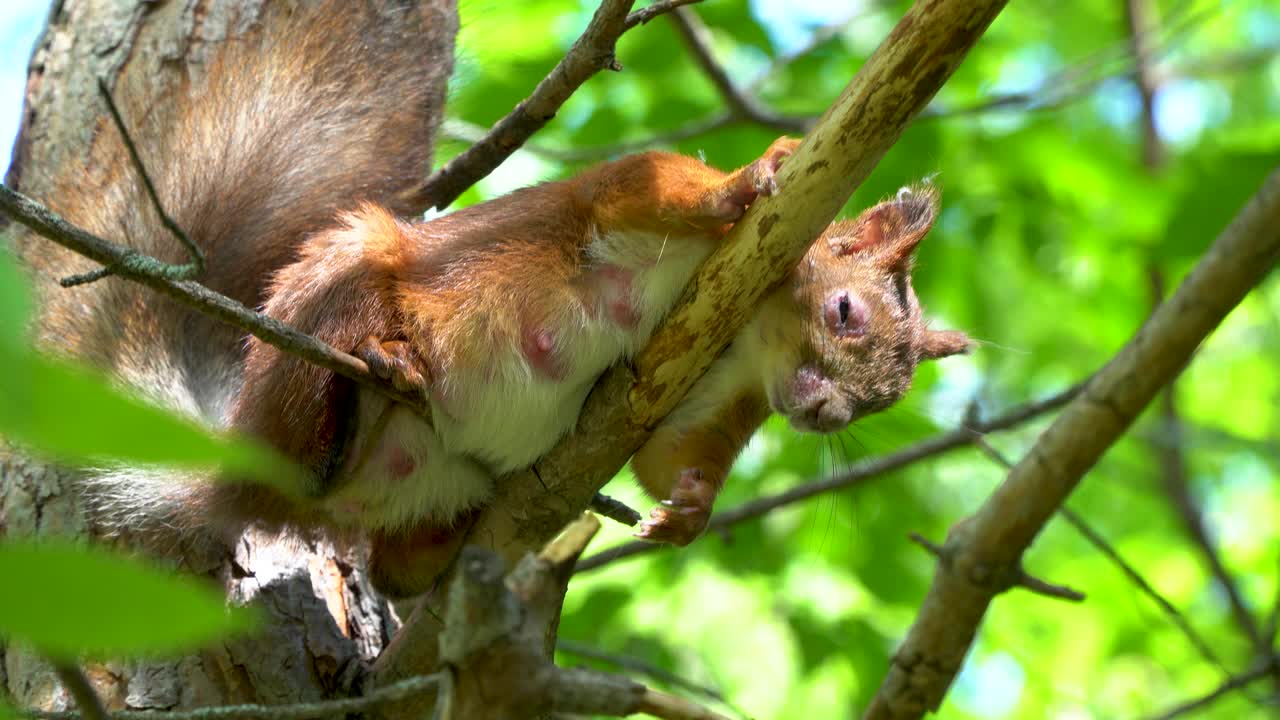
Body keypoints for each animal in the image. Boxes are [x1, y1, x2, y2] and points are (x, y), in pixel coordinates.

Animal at [10, 0, 967, 597]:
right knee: (323, 406)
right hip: (339, 285)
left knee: (391, 563)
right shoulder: (621, 203)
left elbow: (670, 460)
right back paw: (371, 364)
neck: (747, 337)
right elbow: (650, 185)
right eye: (845, 313)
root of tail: (241, 471)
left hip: (427, 488)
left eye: (881, 403)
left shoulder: (697, 390)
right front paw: (750, 177)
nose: (823, 414)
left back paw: (439, 548)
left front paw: (691, 509)